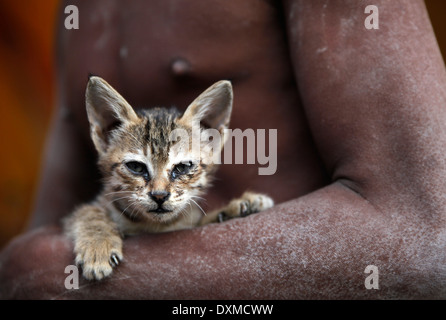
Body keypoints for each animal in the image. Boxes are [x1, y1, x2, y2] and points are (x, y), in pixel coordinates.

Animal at [62, 77, 272, 280]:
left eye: (183, 167)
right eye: (136, 167)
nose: (159, 196)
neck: (156, 226)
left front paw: (238, 207)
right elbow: (89, 211)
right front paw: (97, 245)